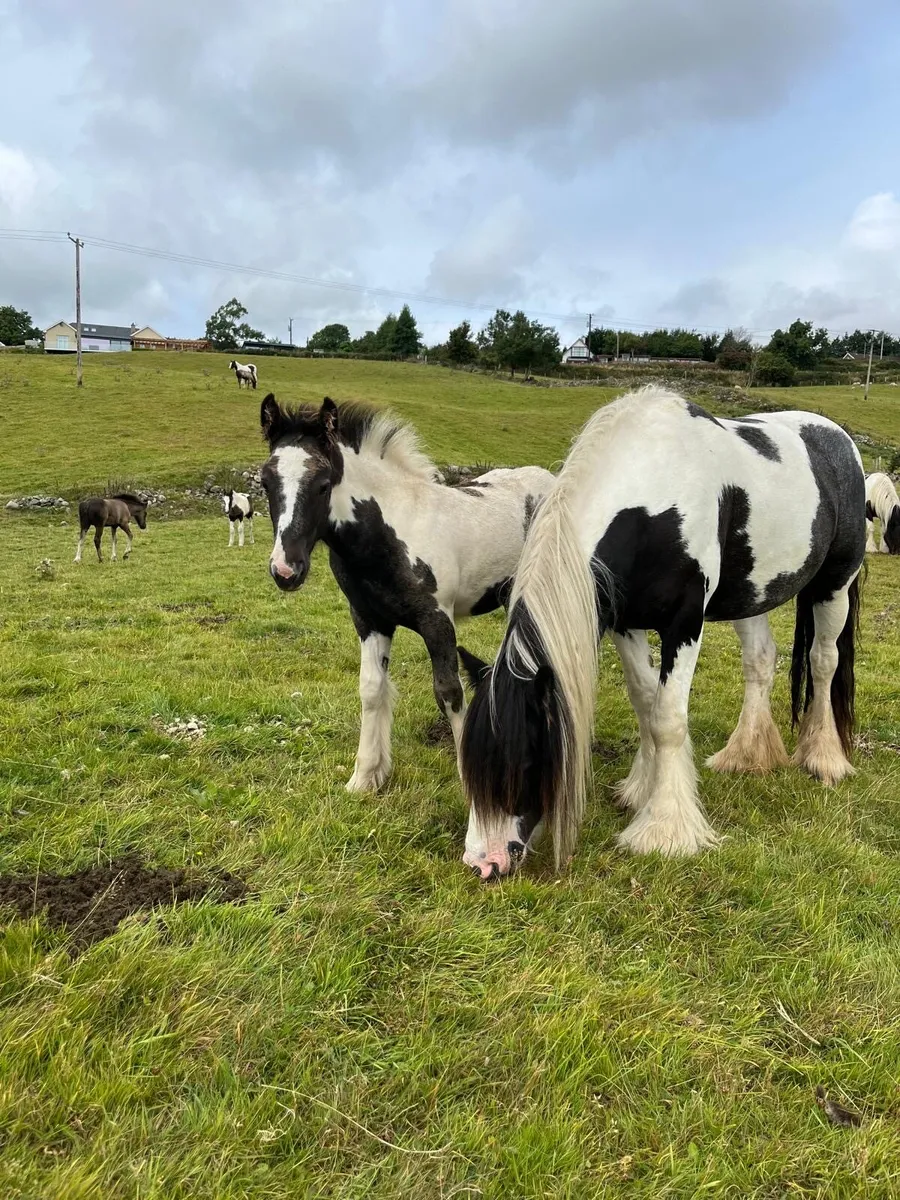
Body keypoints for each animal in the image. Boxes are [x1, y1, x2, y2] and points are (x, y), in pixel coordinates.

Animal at [259, 393, 554, 790]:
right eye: (265, 482)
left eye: (322, 483)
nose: (285, 569)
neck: (389, 535)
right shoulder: (369, 620)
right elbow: (371, 689)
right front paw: (365, 776)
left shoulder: (437, 620)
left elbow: (449, 692)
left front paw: (469, 780)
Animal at [458, 386, 865, 880]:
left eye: (523, 760)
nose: (483, 862)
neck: (651, 500)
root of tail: (837, 438)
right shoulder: (625, 622)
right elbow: (644, 702)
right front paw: (641, 790)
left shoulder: (684, 623)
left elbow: (667, 718)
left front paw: (665, 830)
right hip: (752, 595)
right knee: (761, 661)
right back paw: (746, 756)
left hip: (834, 584)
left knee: (824, 662)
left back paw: (823, 758)